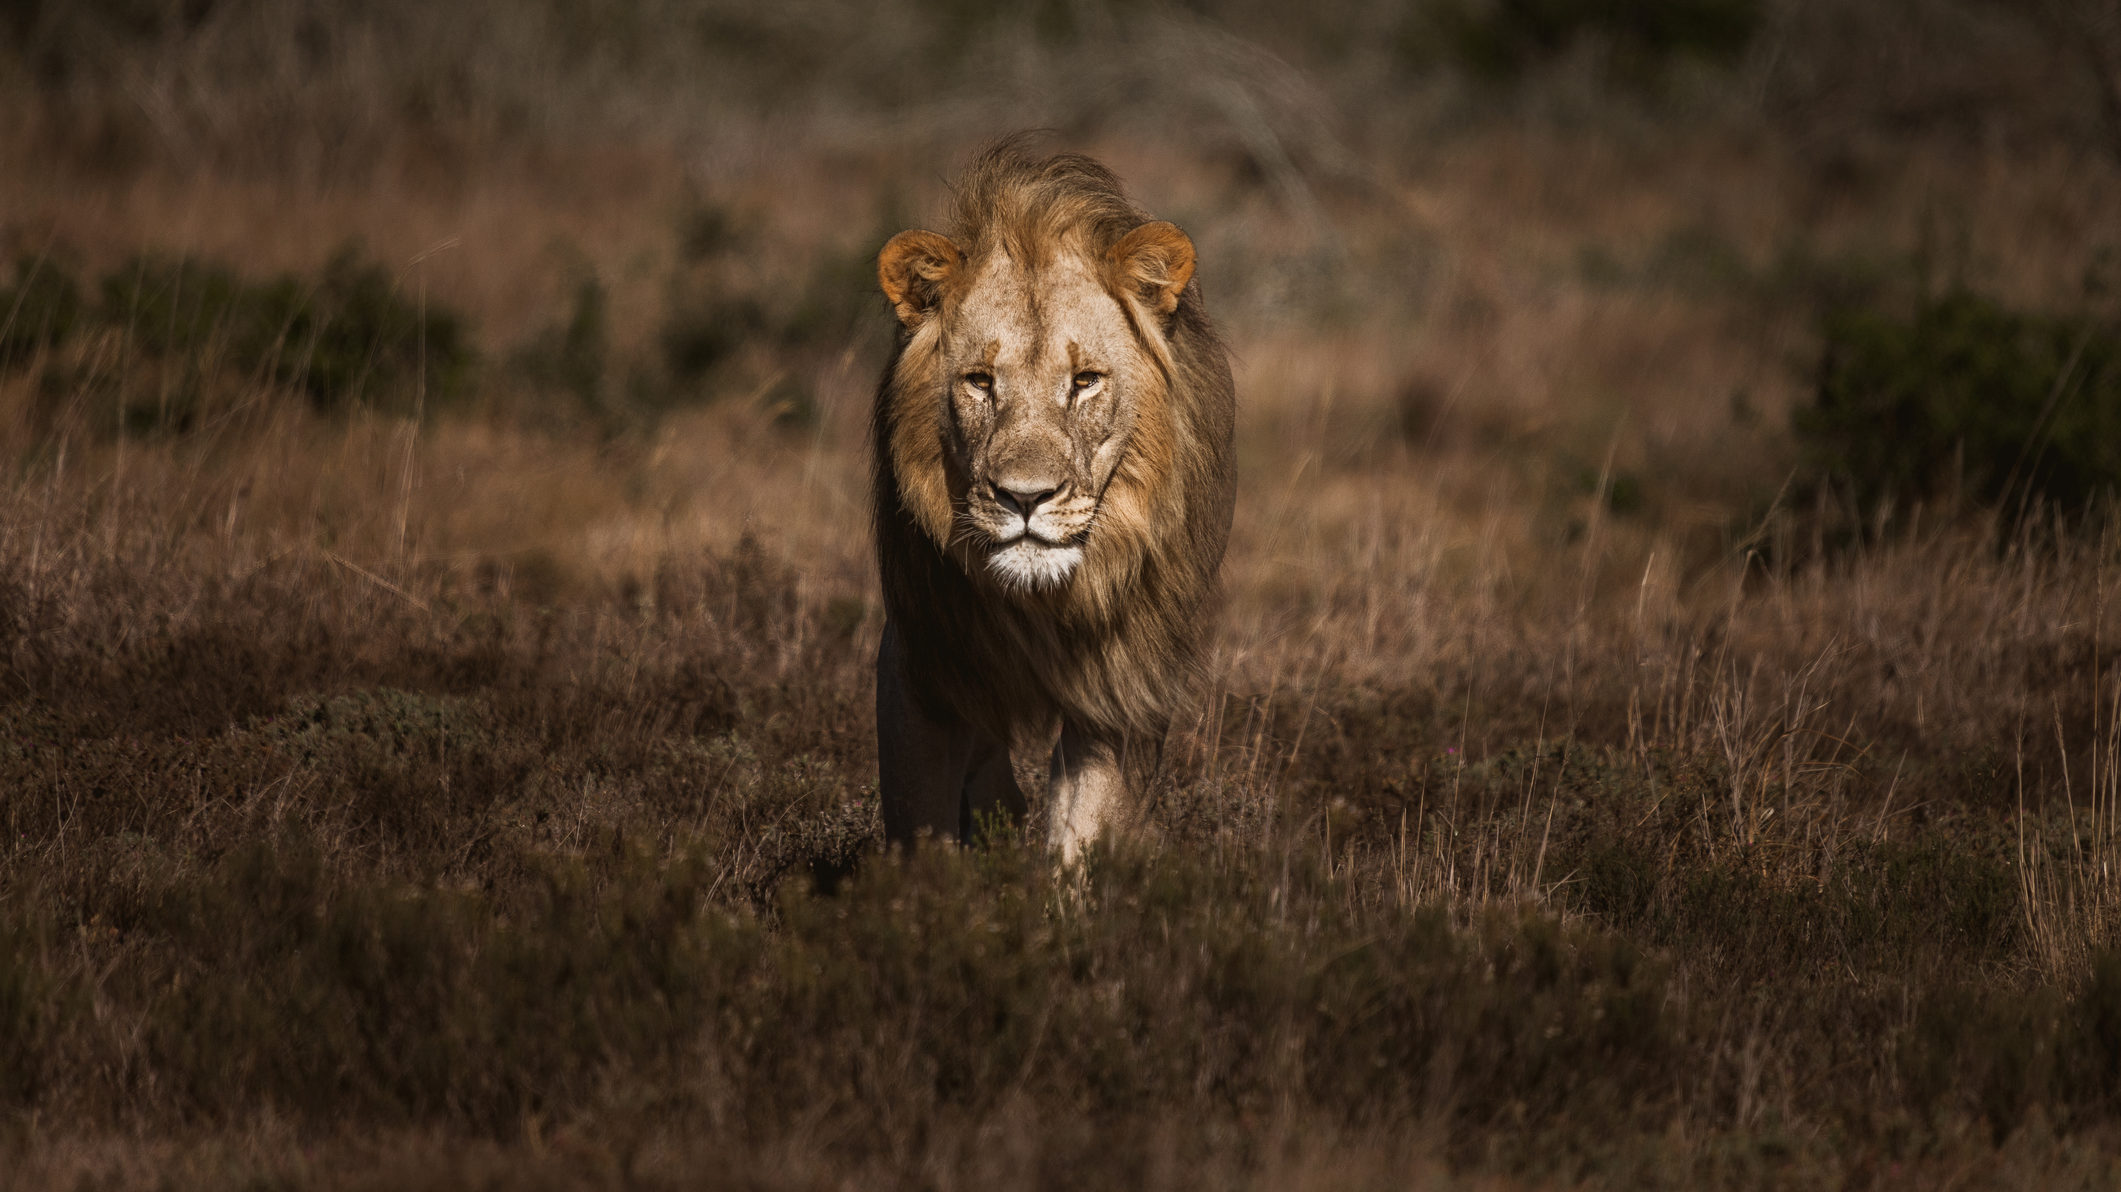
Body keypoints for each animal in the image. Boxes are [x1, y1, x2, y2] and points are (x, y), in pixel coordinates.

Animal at [869, 144, 1238, 856]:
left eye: (1085, 381)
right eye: (980, 382)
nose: (1025, 497)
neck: (1040, 608)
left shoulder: (1119, 689)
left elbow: (1081, 839)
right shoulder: (919, 668)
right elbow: (922, 828)